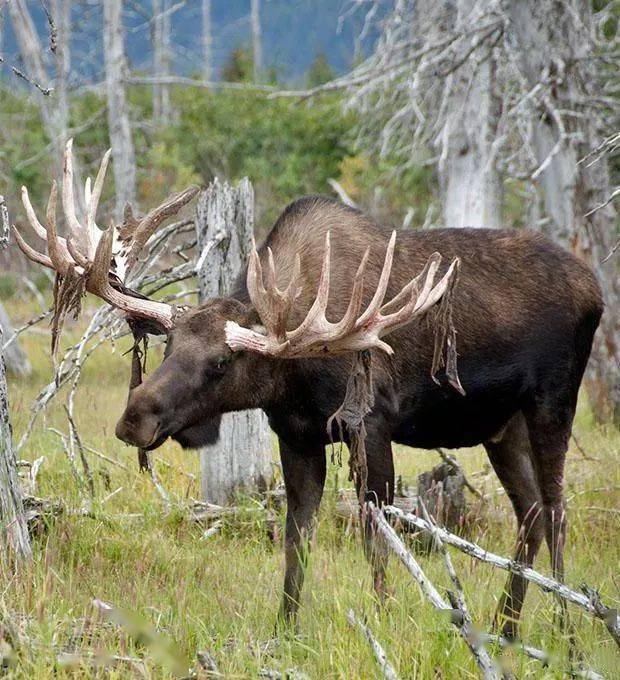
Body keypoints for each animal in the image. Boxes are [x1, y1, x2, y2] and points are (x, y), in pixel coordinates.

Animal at [14, 142, 604, 636]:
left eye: (222, 362)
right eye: (168, 345)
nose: (134, 417)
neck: (292, 377)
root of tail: (596, 288)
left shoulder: (369, 426)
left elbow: (377, 541)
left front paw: (382, 620)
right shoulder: (296, 436)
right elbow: (296, 540)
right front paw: (287, 629)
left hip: (552, 403)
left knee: (557, 511)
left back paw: (567, 633)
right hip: (500, 426)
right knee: (530, 513)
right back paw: (506, 628)